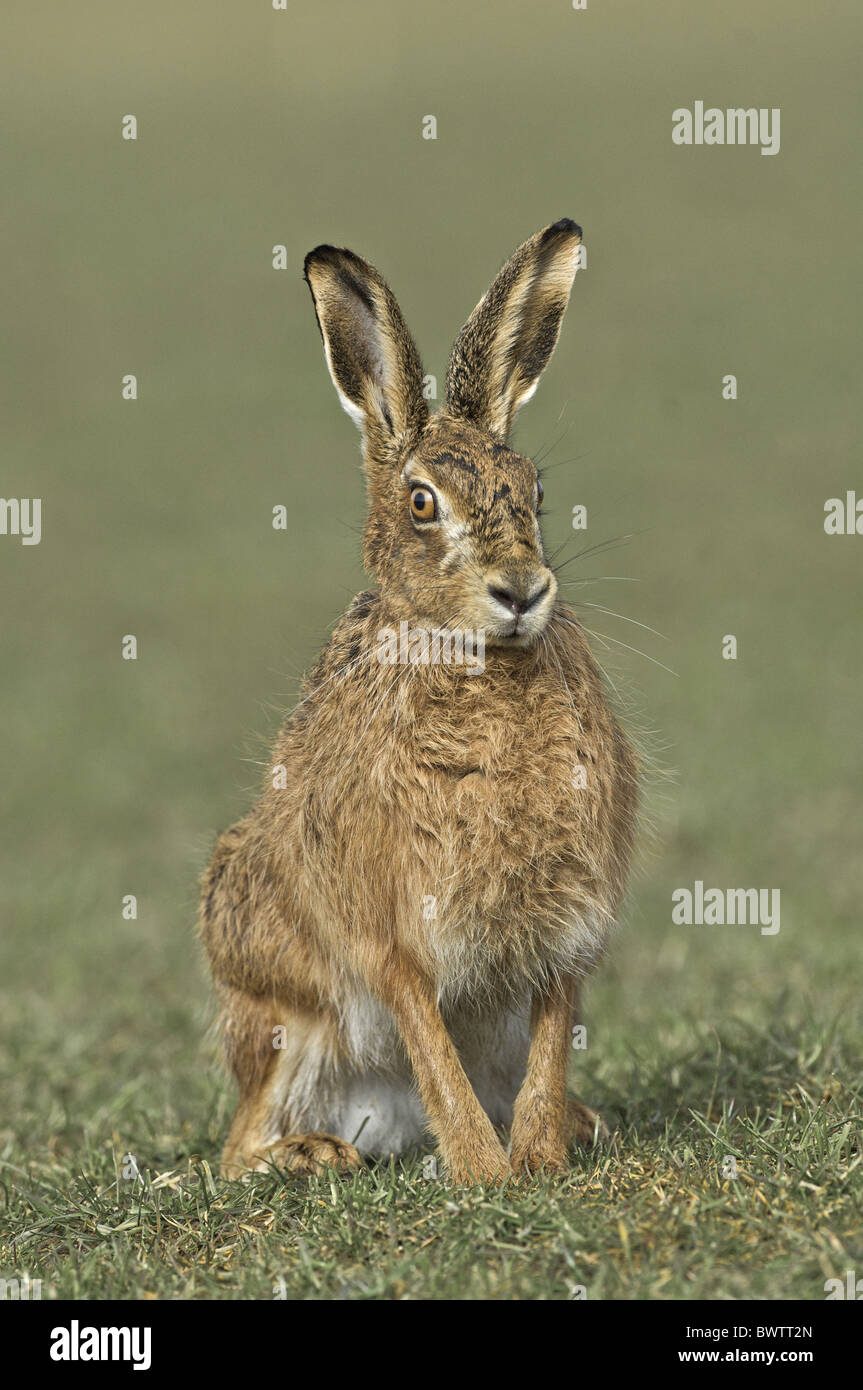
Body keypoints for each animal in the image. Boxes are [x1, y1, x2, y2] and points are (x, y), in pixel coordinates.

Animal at [199, 218, 638, 1184]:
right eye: (421, 502)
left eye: (537, 493)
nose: (521, 590)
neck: (476, 662)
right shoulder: (390, 926)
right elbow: (426, 1035)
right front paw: (481, 1171)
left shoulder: (565, 920)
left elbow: (552, 1032)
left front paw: (537, 1160)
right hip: (284, 1015)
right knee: (236, 1148)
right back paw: (316, 1153)